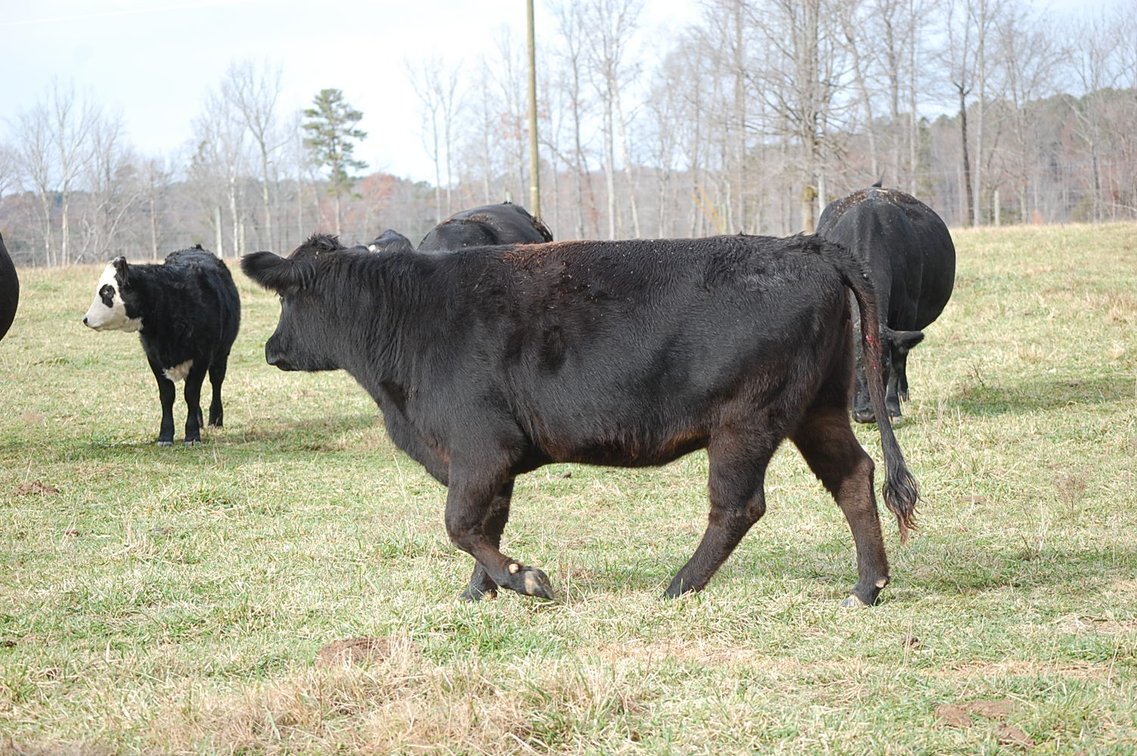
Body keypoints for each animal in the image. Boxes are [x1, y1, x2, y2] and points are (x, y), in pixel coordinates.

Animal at [83, 245, 241, 446]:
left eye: (107, 291)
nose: (86, 319)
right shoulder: (154, 356)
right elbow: (167, 395)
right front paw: (165, 435)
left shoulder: (201, 356)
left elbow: (191, 393)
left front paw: (192, 435)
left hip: (221, 353)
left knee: (216, 382)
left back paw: (215, 420)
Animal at [241, 233, 918, 607]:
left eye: (287, 299)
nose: (272, 349)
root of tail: (800, 244)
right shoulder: (493, 459)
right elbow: (486, 521)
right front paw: (478, 592)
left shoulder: (480, 447)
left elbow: (460, 523)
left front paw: (524, 579)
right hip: (818, 409)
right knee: (855, 477)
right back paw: (867, 588)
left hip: (746, 420)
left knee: (737, 506)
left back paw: (679, 585)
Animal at [817, 183, 956, 423]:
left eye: (884, 365)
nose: (865, 413)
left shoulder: (907, 313)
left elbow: (898, 362)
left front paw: (892, 407)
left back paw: (902, 393)